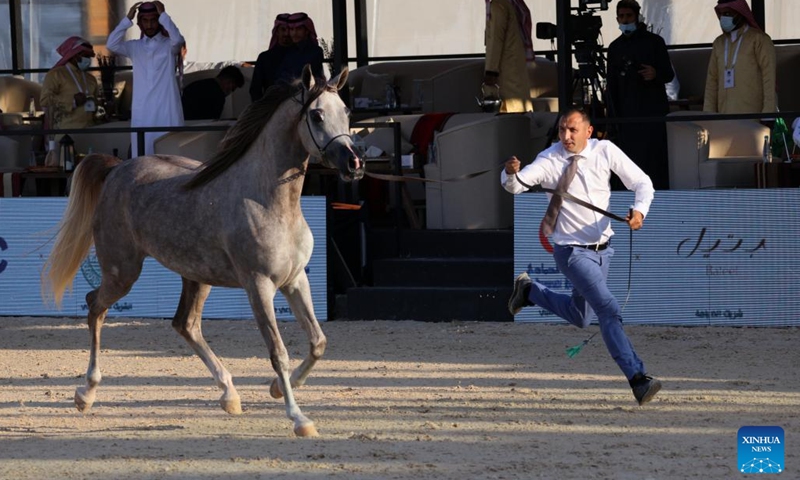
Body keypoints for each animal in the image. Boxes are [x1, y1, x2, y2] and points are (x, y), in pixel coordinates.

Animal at [43, 65, 361, 437]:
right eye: (316, 114)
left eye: (346, 111)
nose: (354, 163)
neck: (269, 201)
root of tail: (115, 169)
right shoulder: (259, 286)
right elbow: (278, 351)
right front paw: (299, 418)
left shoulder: (295, 280)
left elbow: (317, 342)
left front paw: (277, 388)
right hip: (123, 272)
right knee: (96, 306)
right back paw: (86, 393)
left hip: (196, 276)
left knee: (185, 324)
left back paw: (229, 394)